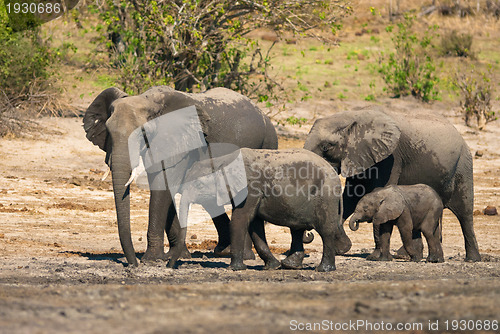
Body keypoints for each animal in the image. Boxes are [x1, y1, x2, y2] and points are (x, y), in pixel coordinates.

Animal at [82, 86, 278, 266]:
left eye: (142, 133)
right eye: (108, 131)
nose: (132, 264)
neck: (148, 101)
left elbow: (163, 187)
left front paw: (151, 260)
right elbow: (164, 188)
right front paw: (175, 256)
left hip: (266, 143)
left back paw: (244, 256)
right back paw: (223, 251)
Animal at [179, 148, 352, 272]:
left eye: (199, 185)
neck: (223, 160)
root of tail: (335, 175)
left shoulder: (250, 188)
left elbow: (240, 220)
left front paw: (235, 269)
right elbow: (255, 226)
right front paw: (272, 266)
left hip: (325, 196)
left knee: (325, 231)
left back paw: (323, 270)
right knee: (297, 229)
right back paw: (289, 266)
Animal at [304, 108, 480, 262]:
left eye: (326, 147)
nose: (308, 235)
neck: (352, 115)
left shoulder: (391, 158)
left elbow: (376, 193)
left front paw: (374, 257)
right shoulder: (359, 157)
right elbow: (350, 197)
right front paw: (341, 248)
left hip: (463, 164)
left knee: (464, 213)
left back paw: (471, 259)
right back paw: (407, 255)